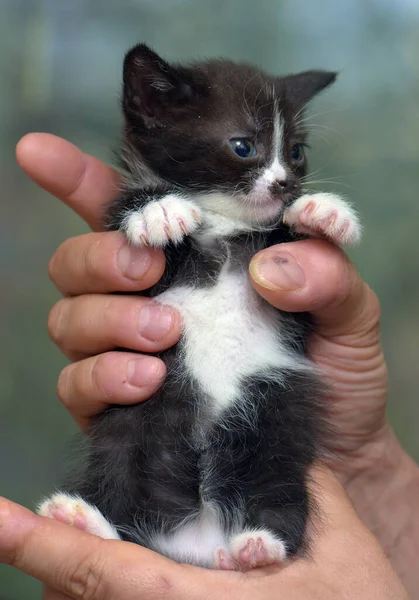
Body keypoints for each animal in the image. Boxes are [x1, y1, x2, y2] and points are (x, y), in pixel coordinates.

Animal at [38, 44, 360, 568]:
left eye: (296, 152)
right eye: (243, 146)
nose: (285, 185)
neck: (223, 223)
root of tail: (201, 543)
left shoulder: (288, 297)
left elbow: (291, 247)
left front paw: (322, 212)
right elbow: (135, 215)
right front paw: (158, 209)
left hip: (277, 421)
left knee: (279, 490)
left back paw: (258, 544)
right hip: (126, 431)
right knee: (121, 493)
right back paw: (87, 521)